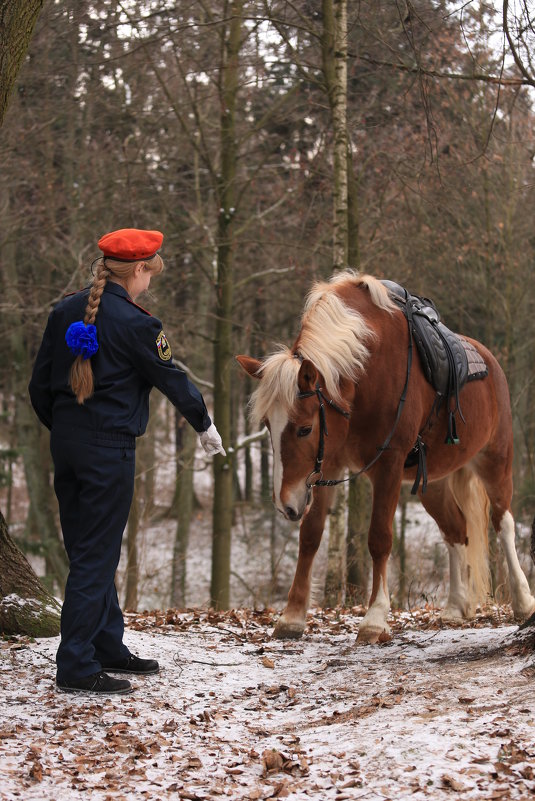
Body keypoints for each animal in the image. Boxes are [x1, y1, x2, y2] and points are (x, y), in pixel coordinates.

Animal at [239, 272, 535, 640]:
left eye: (305, 429)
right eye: (267, 424)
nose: (285, 505)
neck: (366, 373)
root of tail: (491, 362)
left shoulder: (389, 465)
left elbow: (379, 537)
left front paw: (375, 617)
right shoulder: (327, 466)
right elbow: (310, 536)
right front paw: (292, 616)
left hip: (496, 459)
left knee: (503, 523)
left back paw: (523, 600)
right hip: (433, 483)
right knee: (456, 530)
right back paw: (456, 605)